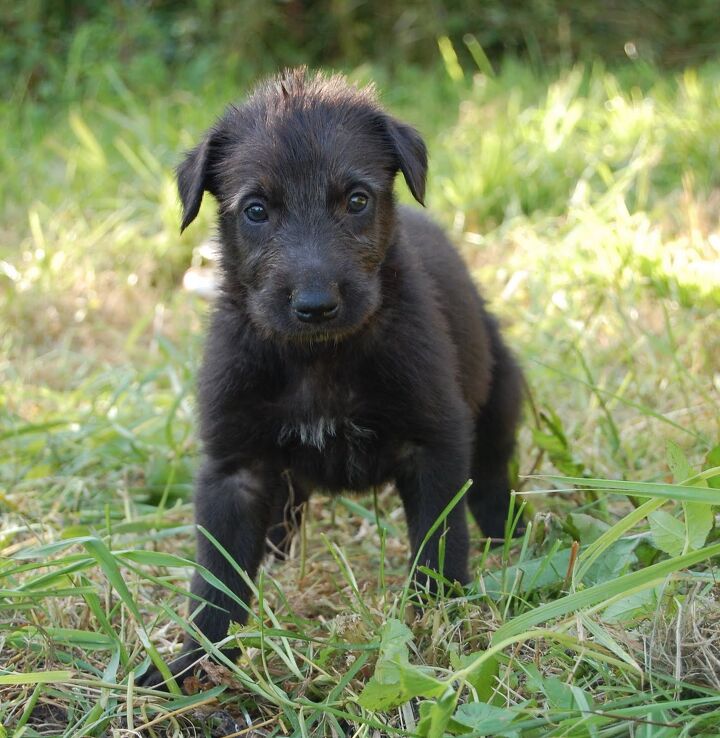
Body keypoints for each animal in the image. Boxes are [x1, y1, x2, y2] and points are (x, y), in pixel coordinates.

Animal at [139, 66, 524, 688]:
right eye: (255, 210)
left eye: (357, 200)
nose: (315, 305)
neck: (317, 358)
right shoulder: (233, 469)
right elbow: (217, 577)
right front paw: (190, 664)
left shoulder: (434, 444)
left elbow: (439, 542)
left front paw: (437, 627)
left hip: (500, 392)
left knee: (490, 471)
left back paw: (507, 528)